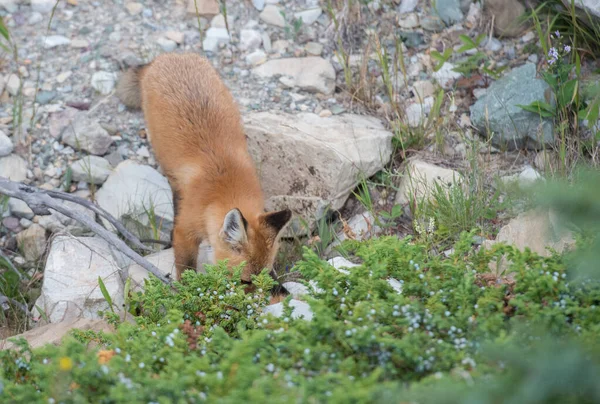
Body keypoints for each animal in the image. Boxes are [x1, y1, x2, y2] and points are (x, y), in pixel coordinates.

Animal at [115, 52, 292, 284]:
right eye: (244, 281)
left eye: (267, 275)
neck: (225, 187)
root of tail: (167, 57)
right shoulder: (185, 231)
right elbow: (186, 267)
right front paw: (184, 288)